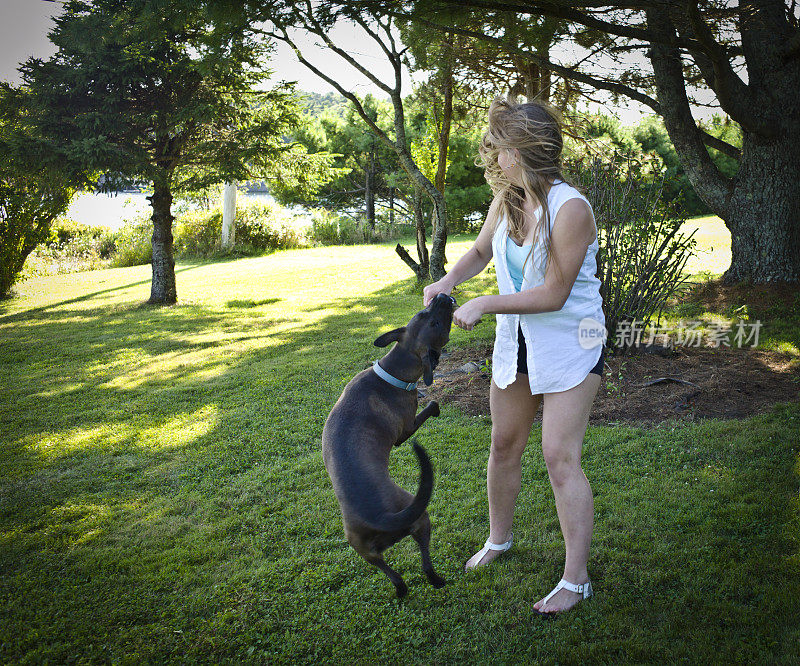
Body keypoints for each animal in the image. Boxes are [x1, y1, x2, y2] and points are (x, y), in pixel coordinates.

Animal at [320, 294, 456, 592]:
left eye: (423, 311)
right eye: (434, 322)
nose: (441, 296)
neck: (392, 372)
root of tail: (381, 518)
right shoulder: (406, 430)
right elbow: (432, 404)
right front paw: (434, 407)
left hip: (365, 552)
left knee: (394, 576)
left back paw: (401, 589)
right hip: (421, 517)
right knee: (426, 563)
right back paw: (438, 580)